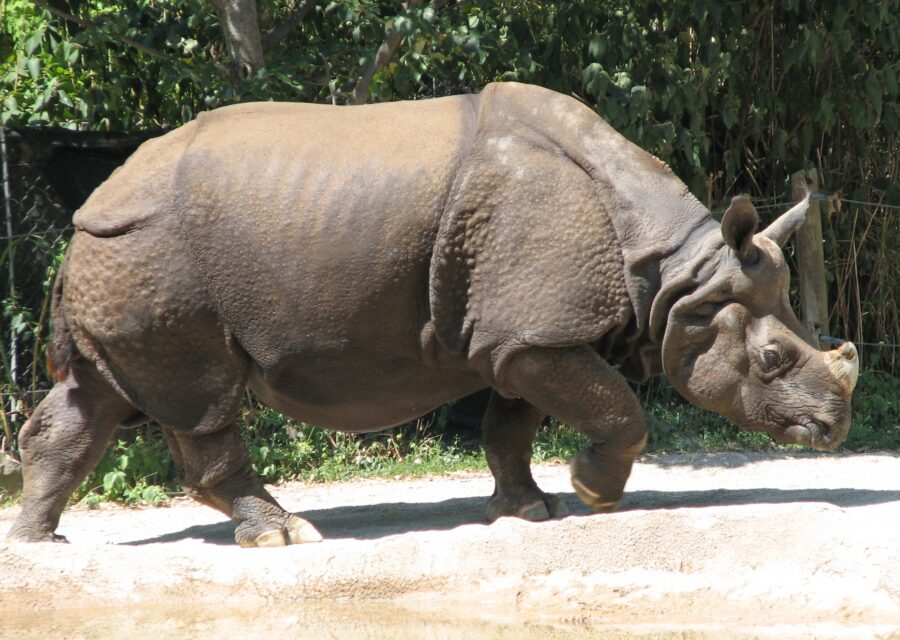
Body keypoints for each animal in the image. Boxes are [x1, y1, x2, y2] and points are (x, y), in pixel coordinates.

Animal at [7, 82, 858, 546]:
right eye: (774, 360)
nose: (834, 430)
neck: (680, 279)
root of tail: (87, 211)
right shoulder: (538, 332)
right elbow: (619, 409)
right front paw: (592, 493)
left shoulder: (518, 334)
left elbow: (511, 425)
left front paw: (529, 509)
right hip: (155, 253)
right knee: (201, 396)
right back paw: (282, 536)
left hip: (123, 256)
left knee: (98, 395)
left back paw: (41, 544)